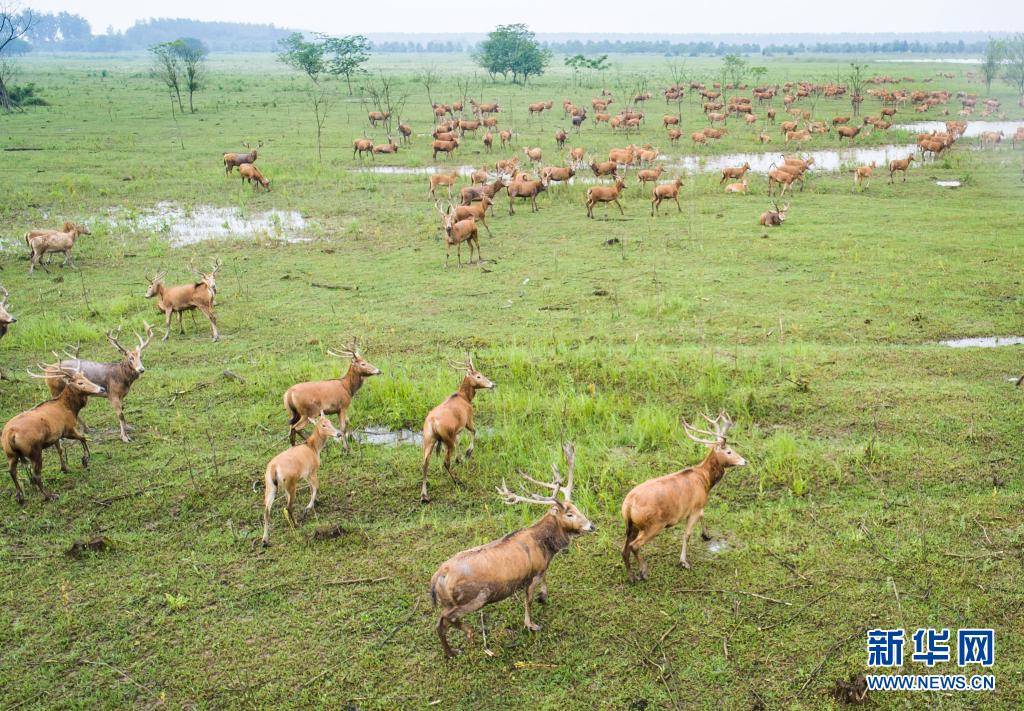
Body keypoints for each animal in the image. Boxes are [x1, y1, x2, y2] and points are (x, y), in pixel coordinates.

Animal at [3, 366, 106, 506]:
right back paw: (50, 495)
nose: (102, 389)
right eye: (80, 382)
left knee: (12, 471)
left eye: (86, 378)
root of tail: (10, 434)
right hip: (34, 450)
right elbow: (83, 438)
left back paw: (20, 496)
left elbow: (60, 450)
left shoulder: (55, 436)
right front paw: (85, 459)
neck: (70, 408)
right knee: (35, 475)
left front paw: (65, 468)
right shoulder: (67, 429)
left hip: (10, 454)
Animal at [260, 415, 344, 549]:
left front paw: (316, 502)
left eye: (330, 421)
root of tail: (273, 468)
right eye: (323, 425)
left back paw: (265, 540)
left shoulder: (306, 475)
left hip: (270, 487)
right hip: (290, 484)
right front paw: (308, 507)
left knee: (266, 511)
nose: (338, 434)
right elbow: (316, 486)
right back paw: (296, 524)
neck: (313, 448)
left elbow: (311, 487)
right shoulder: (311, 472)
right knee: (288, 506)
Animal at [417, 354, 493, 502]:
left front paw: (459, 458)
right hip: (446, 439)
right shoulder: (468, 419)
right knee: (446, 462)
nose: (492, 384)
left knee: (424, 463)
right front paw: (468, 453)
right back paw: (457, 480)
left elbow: (459, 439)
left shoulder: (456, 430)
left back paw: (424, 495)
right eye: (478, 376)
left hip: (429, 439)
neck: (465, 397)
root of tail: (433, 423)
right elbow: (474, 431)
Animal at [430, 442, 593, 659]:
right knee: (443, 620)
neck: (547, 548)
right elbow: (528, 601)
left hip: (452, 601)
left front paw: (544, 597)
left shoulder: (542, 568)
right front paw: (531, 624)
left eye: (577, 507)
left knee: (442, 621)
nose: (591, 526)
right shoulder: (531, 575)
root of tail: (438, 576)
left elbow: (545, 581)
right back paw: (463, 639)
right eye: (569, 514)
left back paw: (452, 649)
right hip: (473, 598)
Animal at [618, 415, 749, 581]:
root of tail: (628, 505)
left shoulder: (698, 506)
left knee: (624, 549)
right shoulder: (694, 508)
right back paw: (643, 571)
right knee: (634, 545)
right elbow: (687, 534)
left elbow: (703, 515)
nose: (745, 461)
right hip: (653, 525)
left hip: (631, 525)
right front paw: (684, 562)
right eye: (729, 451)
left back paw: (631, 577)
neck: (705, 481)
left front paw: (706, 535)